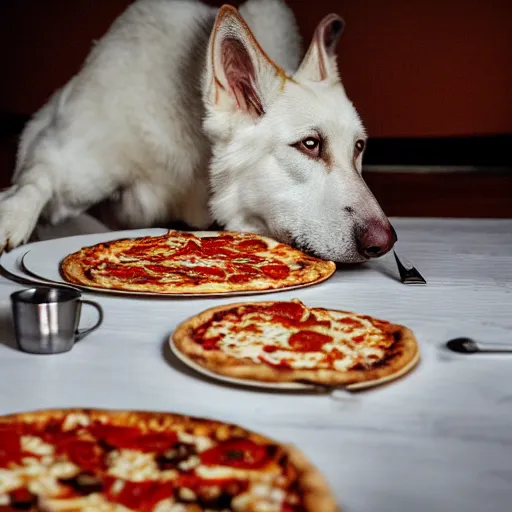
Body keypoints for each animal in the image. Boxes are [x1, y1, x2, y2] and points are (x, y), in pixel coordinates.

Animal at [0, 0, 394, 262]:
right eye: (310, 144)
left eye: (359, 147)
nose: (387, 242)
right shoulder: (67, 158)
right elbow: (36, 182)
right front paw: (11, 217)